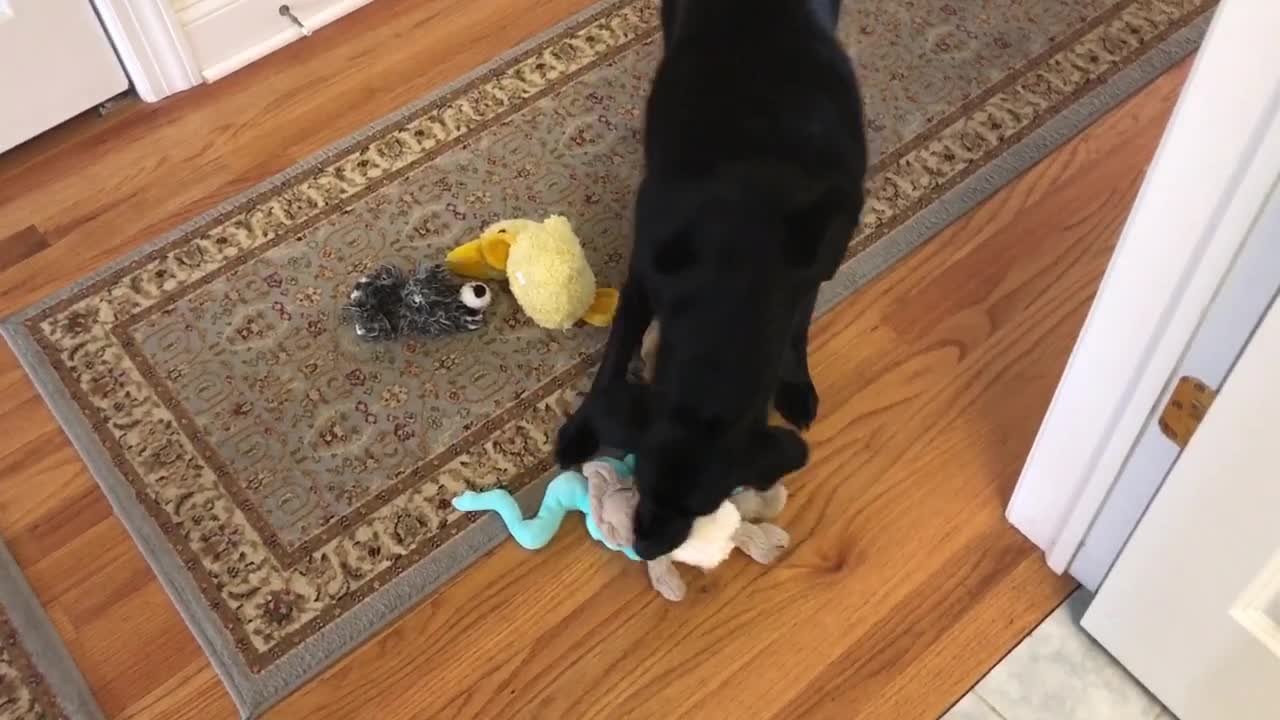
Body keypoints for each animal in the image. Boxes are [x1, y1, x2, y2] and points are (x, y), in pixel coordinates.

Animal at [555, 0, 865, 558]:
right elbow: (614, 355)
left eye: (706, 507)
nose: (645, 550)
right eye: (641, 480)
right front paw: (582, 428)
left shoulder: (815, 267)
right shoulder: (643, 272)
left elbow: (797, 330)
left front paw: (795, 384)